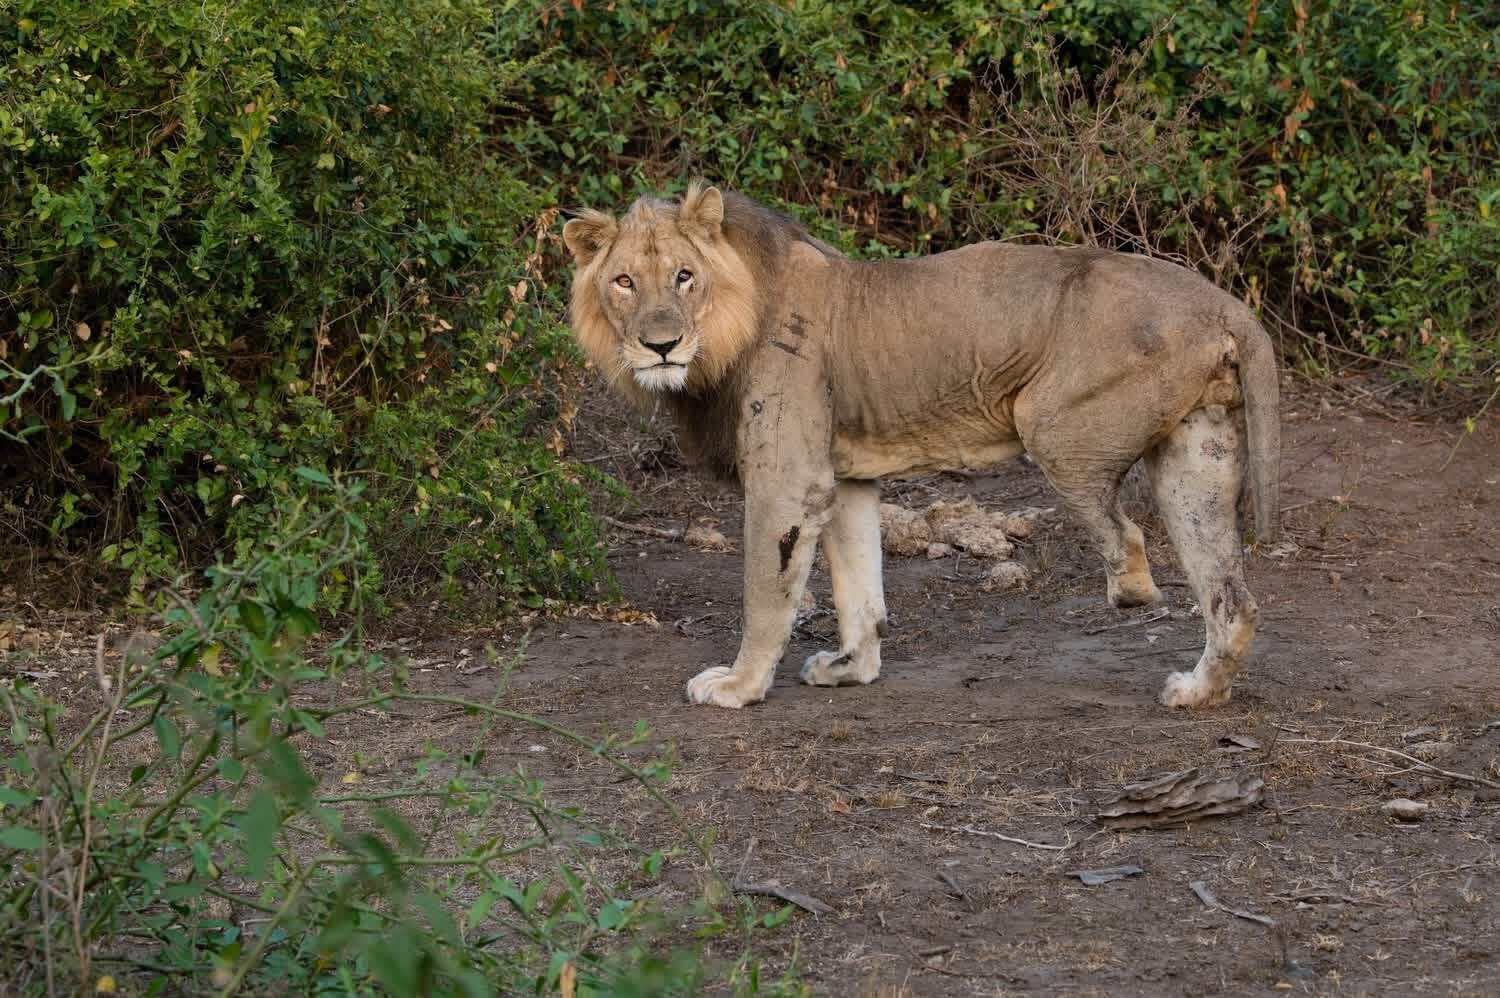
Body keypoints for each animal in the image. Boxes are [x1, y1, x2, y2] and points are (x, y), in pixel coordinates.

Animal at [563, 183, 1279, 710]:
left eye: (684, 276)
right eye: (624, 282)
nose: (660, 345)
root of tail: (1222, 303)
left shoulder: (787, 480)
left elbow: (767, 593)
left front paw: (739, 687)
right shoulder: (843, 478)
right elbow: (859, 587)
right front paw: (852, 668)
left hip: (1052, 424)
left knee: (1129, 543)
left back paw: (1131, 595)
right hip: (1196, 458)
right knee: (1231, 596)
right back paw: (1199, 692)